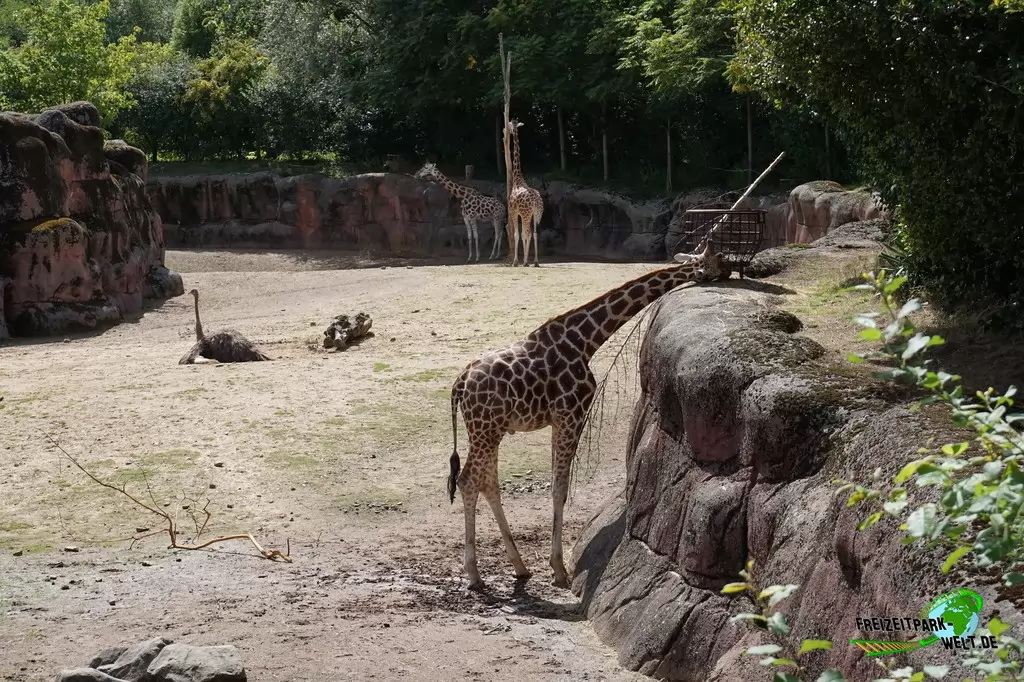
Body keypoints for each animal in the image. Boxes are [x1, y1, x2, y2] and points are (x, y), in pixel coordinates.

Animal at [446, 240, 726, 590]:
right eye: (716, 260)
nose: (730, 271)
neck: (586, 340)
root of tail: (459, 384)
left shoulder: (559, 420)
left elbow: (557, 486)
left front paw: (554, 566)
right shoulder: (572, 414)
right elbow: (560, 488)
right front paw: (559, 569)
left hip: (489, 430)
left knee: (488, 483)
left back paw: (519, 567)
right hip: (486, 429)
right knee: (468, 480)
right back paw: (474, 574)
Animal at [505, 119, 545, 267]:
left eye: (511, 125)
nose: (507, 130)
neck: (518, 178)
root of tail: (535, 201)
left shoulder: (514, 211)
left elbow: (518, 234)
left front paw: (516, 261)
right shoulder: (527, 214)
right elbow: (526, 234)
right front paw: (524, 260)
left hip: (527, 214)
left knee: (527, 232)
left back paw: (526, 261)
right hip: (537, 214)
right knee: (535, 233)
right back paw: (535, 261)